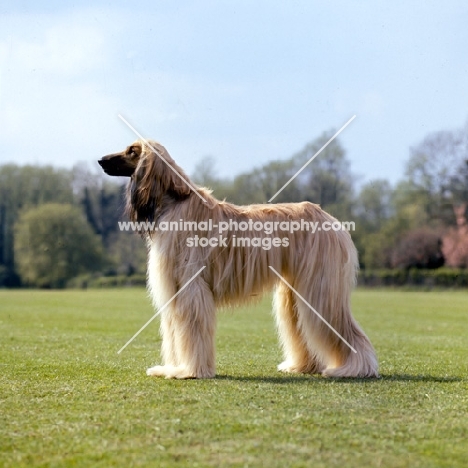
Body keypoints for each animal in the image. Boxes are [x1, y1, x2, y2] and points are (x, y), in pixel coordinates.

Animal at [98, 141, 376, 378]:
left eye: (132, 151)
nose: (100, 160)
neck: (174, 201)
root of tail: (332, 220)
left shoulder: (190, 287)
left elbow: (191, 330)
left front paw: (190, 371)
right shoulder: (176, 290)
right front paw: (173, 368)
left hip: (320, 286)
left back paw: (355, 368)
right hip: (294, 289)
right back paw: (302, 366)